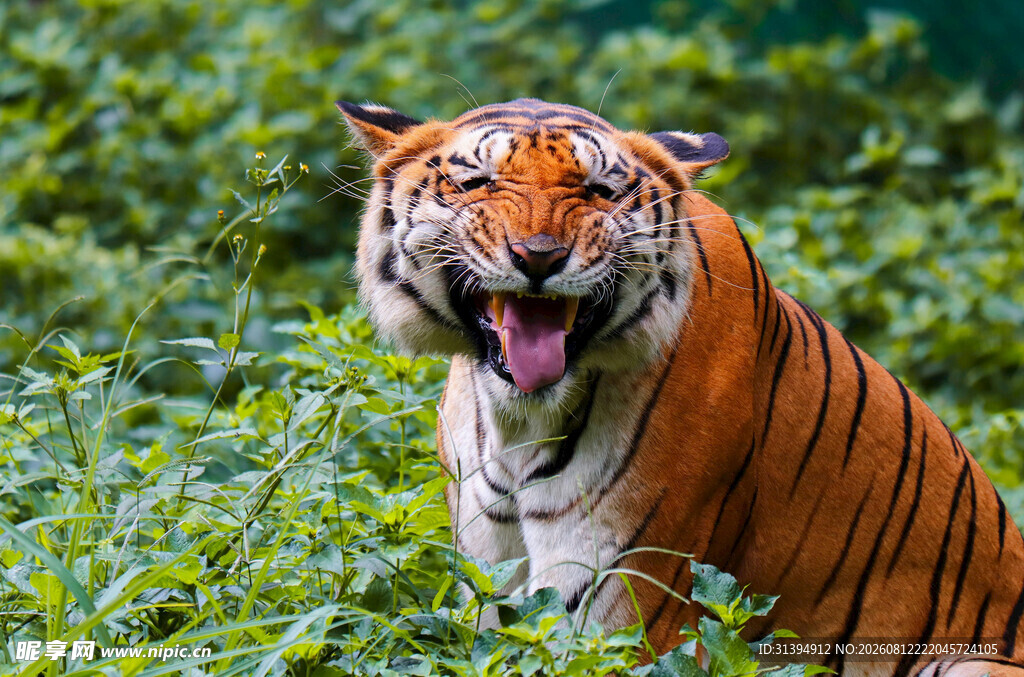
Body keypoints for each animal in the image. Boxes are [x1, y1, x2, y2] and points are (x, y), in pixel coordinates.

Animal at [336, 97, 1024, 677]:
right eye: (478, 182)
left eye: (599, 191)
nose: (539, 257)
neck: (519, 423)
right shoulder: (486, 579)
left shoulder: (624, 590)